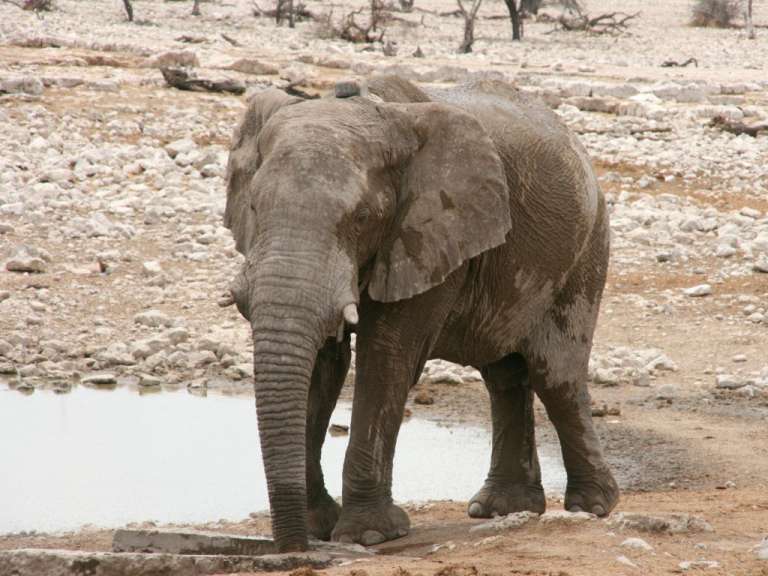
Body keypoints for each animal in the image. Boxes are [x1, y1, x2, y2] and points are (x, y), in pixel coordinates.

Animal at [221, 75, 619, 552]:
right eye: (254, 207)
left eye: (363, 217)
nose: (293, 550)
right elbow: (323, 363)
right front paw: (320, 527)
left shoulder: (431, 232)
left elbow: (387, 359)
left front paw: (369, 534)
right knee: (505, 375)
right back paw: (502, 509)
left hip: (586, 251)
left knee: (555, 376)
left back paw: (592, 507)